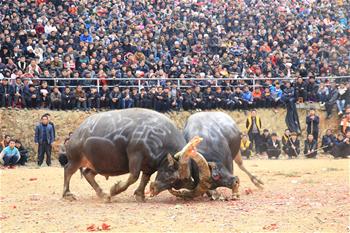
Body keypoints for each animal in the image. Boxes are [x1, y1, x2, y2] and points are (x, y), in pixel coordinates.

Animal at [63, 108, 209, 201]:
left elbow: (144, 178)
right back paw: (67, 194)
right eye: (170, 176)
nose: (154, 189)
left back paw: (103, 194)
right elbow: (133, 176)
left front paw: (140, 195)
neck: (159, 137)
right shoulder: (135, 156)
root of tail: (76, 133)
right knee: (68, 171)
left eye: (176, 184)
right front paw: (114, 190)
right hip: (75, 159)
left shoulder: (149, 166)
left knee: (87, 173)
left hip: (98, 164)